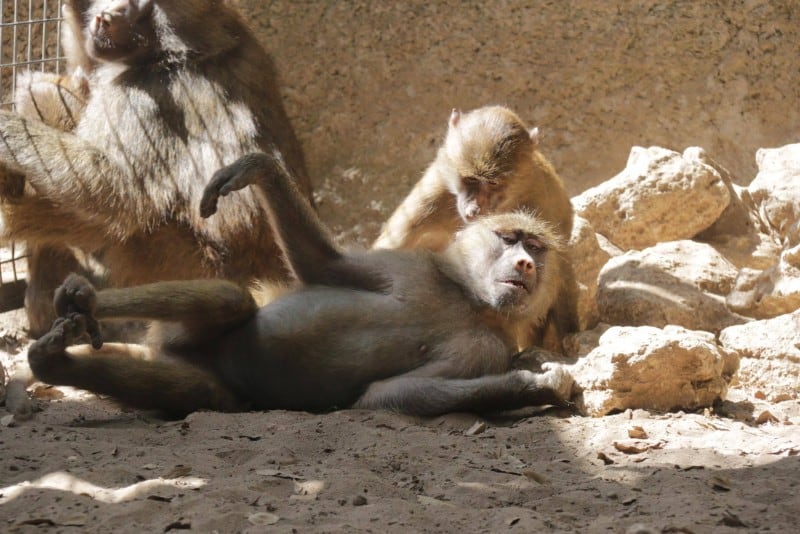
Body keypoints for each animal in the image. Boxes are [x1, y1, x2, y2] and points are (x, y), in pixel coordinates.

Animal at [0, 0, 313, 337]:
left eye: (140, 7)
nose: (105, 16)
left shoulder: (148, 96)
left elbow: (112, 192)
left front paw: (5, 130)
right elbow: (85, 61)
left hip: (187, 265)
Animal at [25, 151, 576, 418]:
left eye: (537, 248)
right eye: (510, 238)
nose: (526, 265)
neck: (464, 300)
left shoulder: (486, 349)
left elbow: (388, 394)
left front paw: (542, 384)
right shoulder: (411, 267)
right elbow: (324, 266)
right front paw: (258, 170)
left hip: (214, 390)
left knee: (204, 370)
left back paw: (52, 360)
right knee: (229, 299)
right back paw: (81, 305)